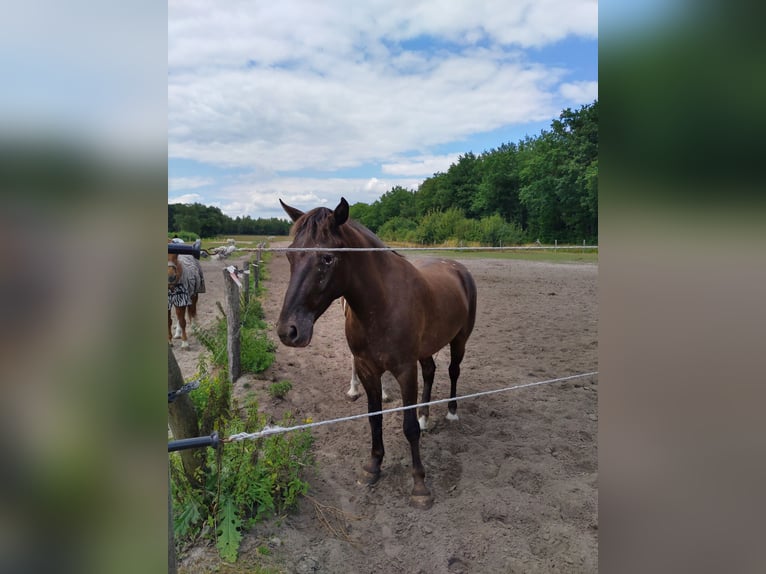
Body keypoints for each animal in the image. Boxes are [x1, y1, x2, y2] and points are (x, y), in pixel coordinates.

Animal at [276, 197, 480, 508]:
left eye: (327, 258)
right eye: (290, 255)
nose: (289, 331)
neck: (382, 304)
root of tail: (458, 268)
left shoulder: (405, 370)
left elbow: (408, 427)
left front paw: (419, 485)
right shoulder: (366, 369)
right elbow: (375, 418)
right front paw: (372, 467)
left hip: (459, 340)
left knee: (453, 371)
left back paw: (451, 413)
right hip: (426, 348)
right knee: (430, 372)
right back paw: (425, 416)